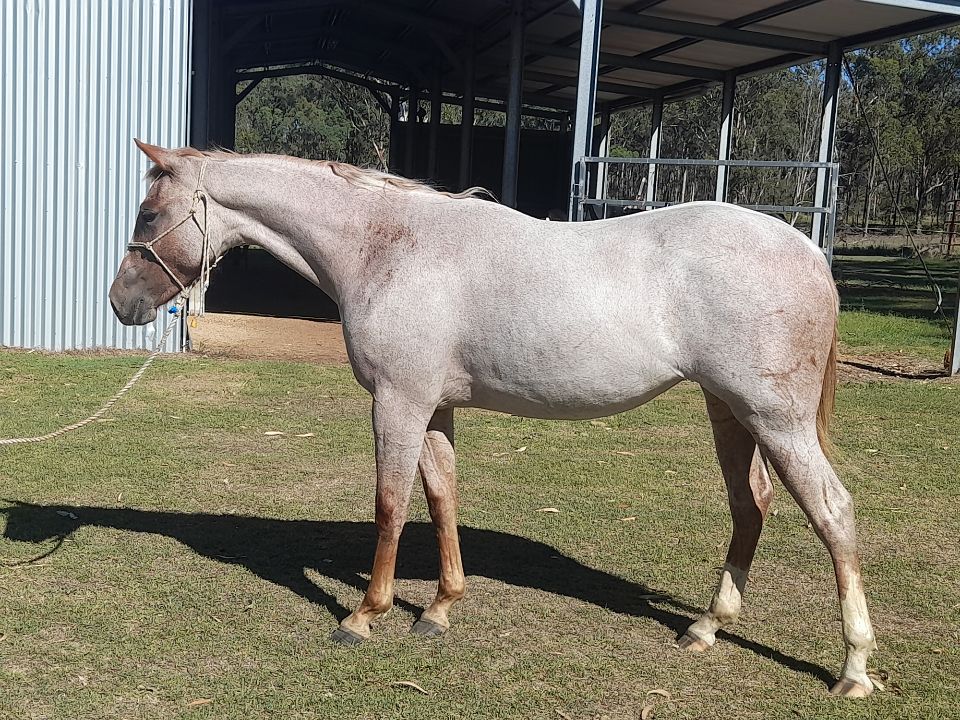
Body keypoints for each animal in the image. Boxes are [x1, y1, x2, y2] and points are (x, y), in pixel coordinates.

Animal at [109, 140, 876, 698]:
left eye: (147, 215)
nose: (121, 303)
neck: (386, 244)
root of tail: (808, 251)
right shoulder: (435, 407)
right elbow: (441, 496)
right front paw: (440, 609)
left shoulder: (397, 400)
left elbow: (390, 504)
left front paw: (365, 616)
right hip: (729, 410)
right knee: (751, 506)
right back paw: (708, 628)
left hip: (775, 418)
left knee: (832, 511)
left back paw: (853, 669)